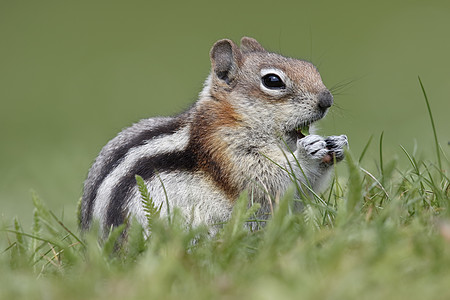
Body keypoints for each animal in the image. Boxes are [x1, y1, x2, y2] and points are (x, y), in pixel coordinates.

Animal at [81, 36, 348, 236]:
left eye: (311, 68)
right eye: (272, 80)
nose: (327, 100)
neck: (237, 118)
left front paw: (338, 144)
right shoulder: (224, 149)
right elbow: (268, 179)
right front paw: (307, 153)